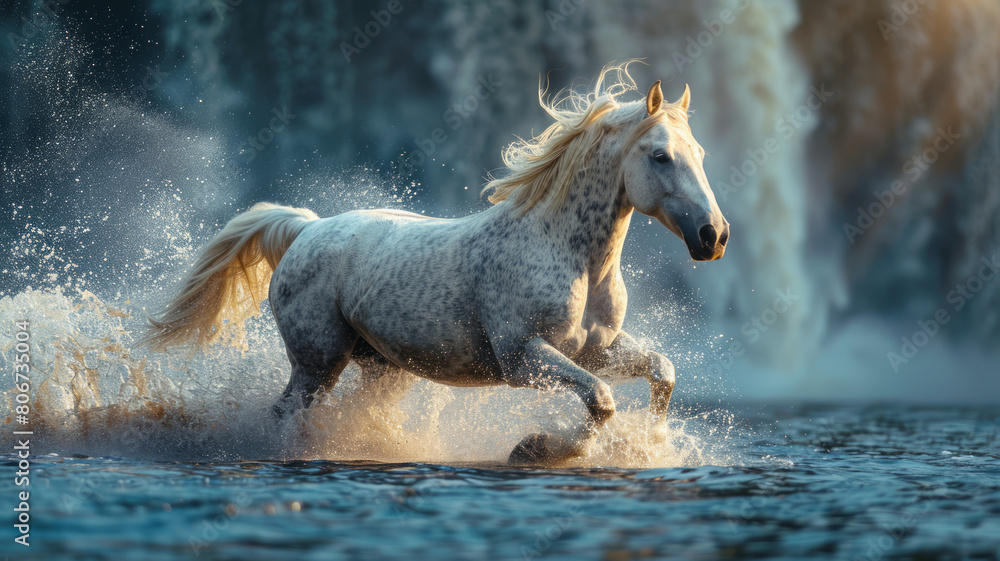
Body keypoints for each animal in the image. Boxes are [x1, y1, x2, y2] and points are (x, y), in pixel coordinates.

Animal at [142, 64, 729, 464]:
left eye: (701, 153)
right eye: (660, 155)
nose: (714, 236)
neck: (571, 258)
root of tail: (307, 229)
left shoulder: (596, 350)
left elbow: (661, 373)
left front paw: (650, 446)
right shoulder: (523, 358)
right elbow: (602, 401)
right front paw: (536, 449)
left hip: (382, 368)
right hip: (317, 361)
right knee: (287, 413)